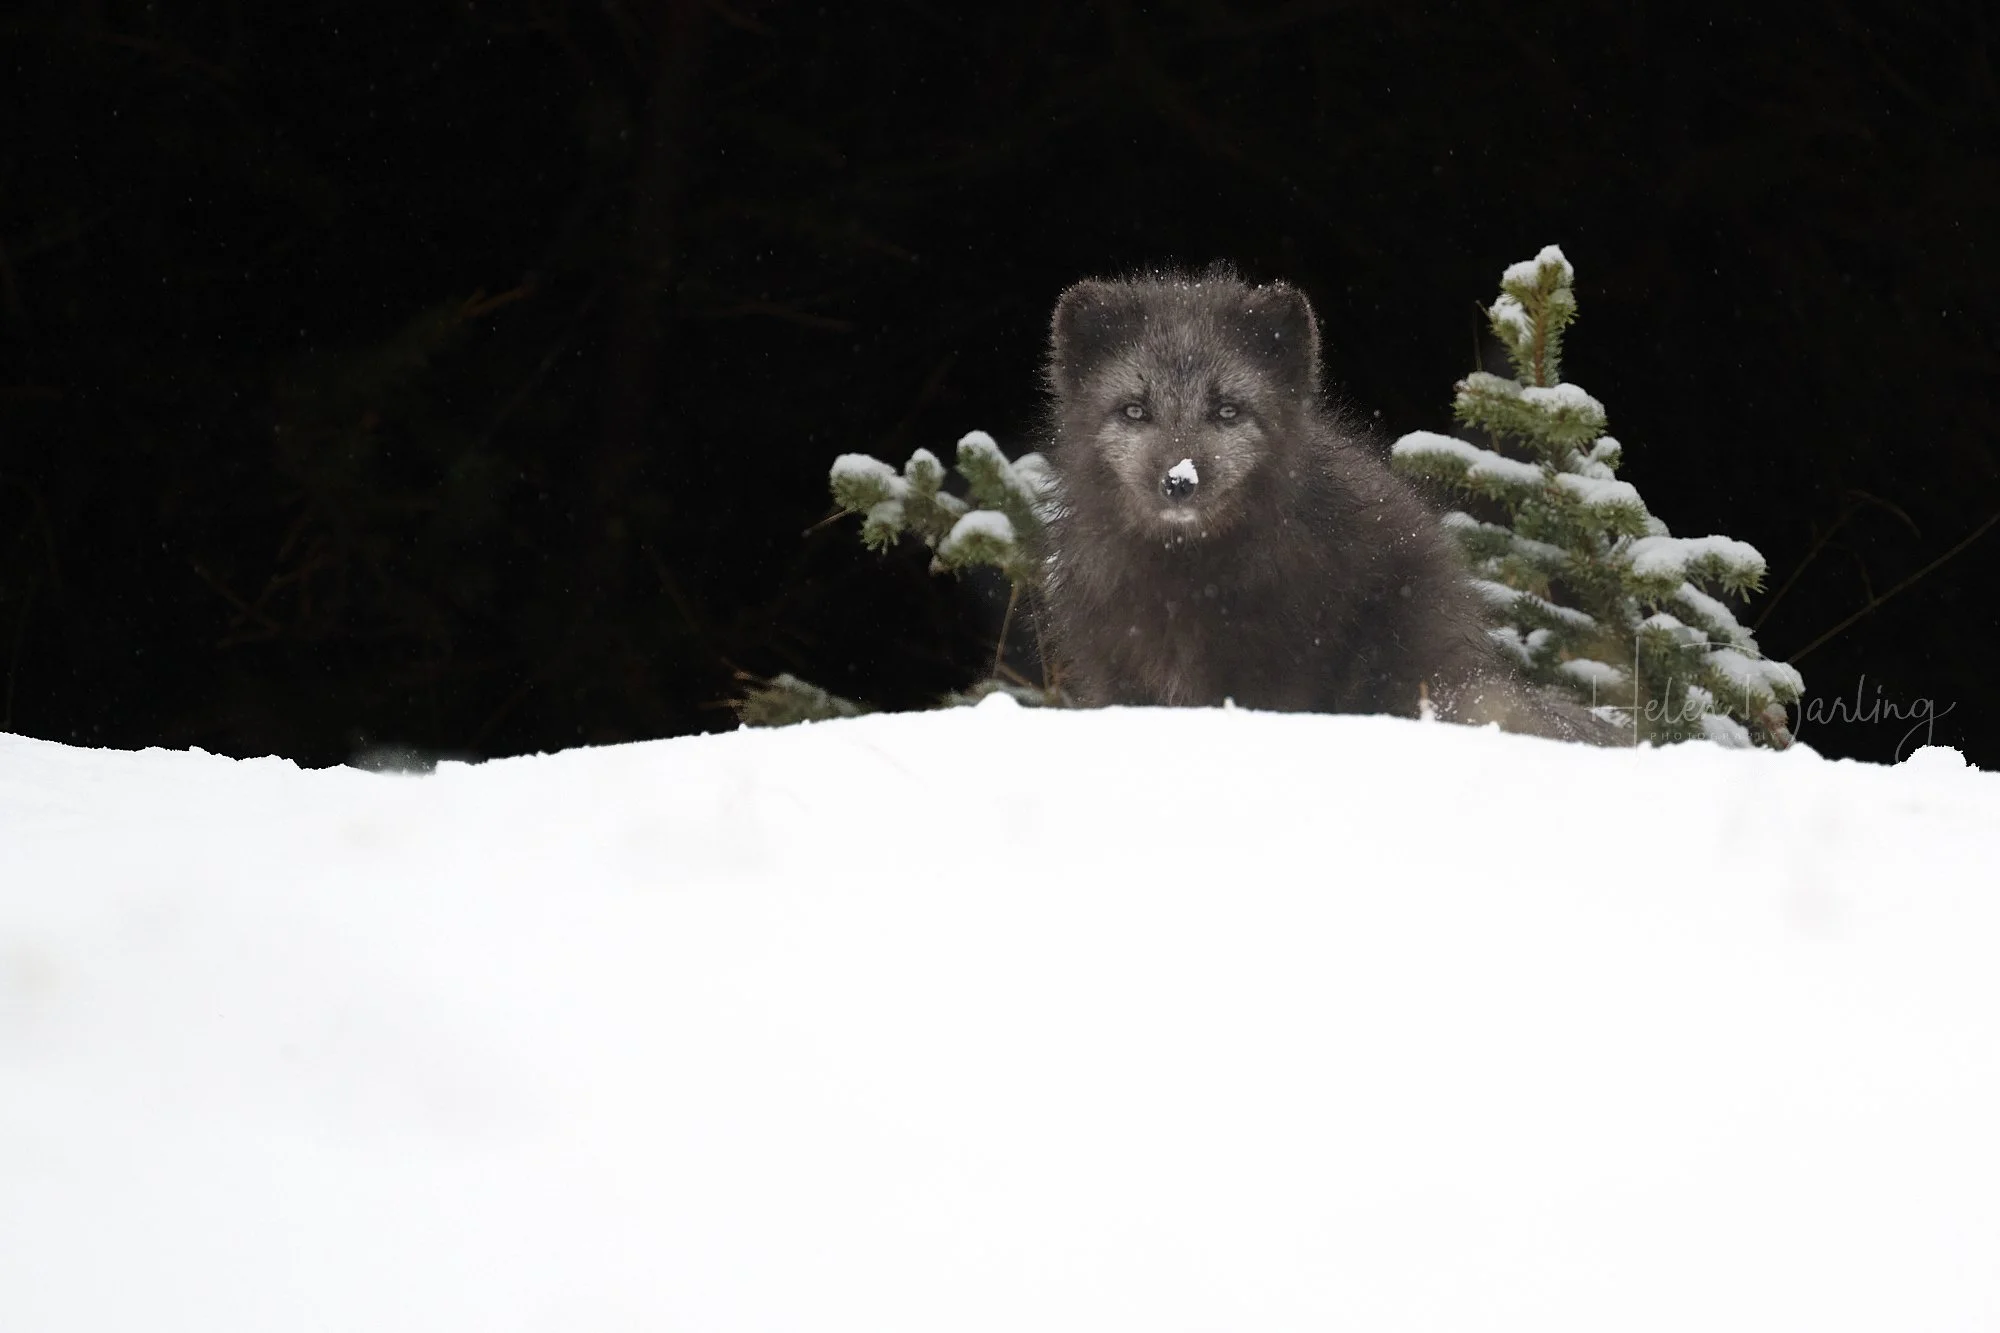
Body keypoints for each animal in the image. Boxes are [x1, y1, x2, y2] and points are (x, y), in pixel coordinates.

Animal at [1038, 268, 1615, 742]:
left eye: (1227, 411)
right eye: (1135, 411)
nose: (1179, 482)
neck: (1185, 578)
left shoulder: (1278, 672)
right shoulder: (1118, 672)